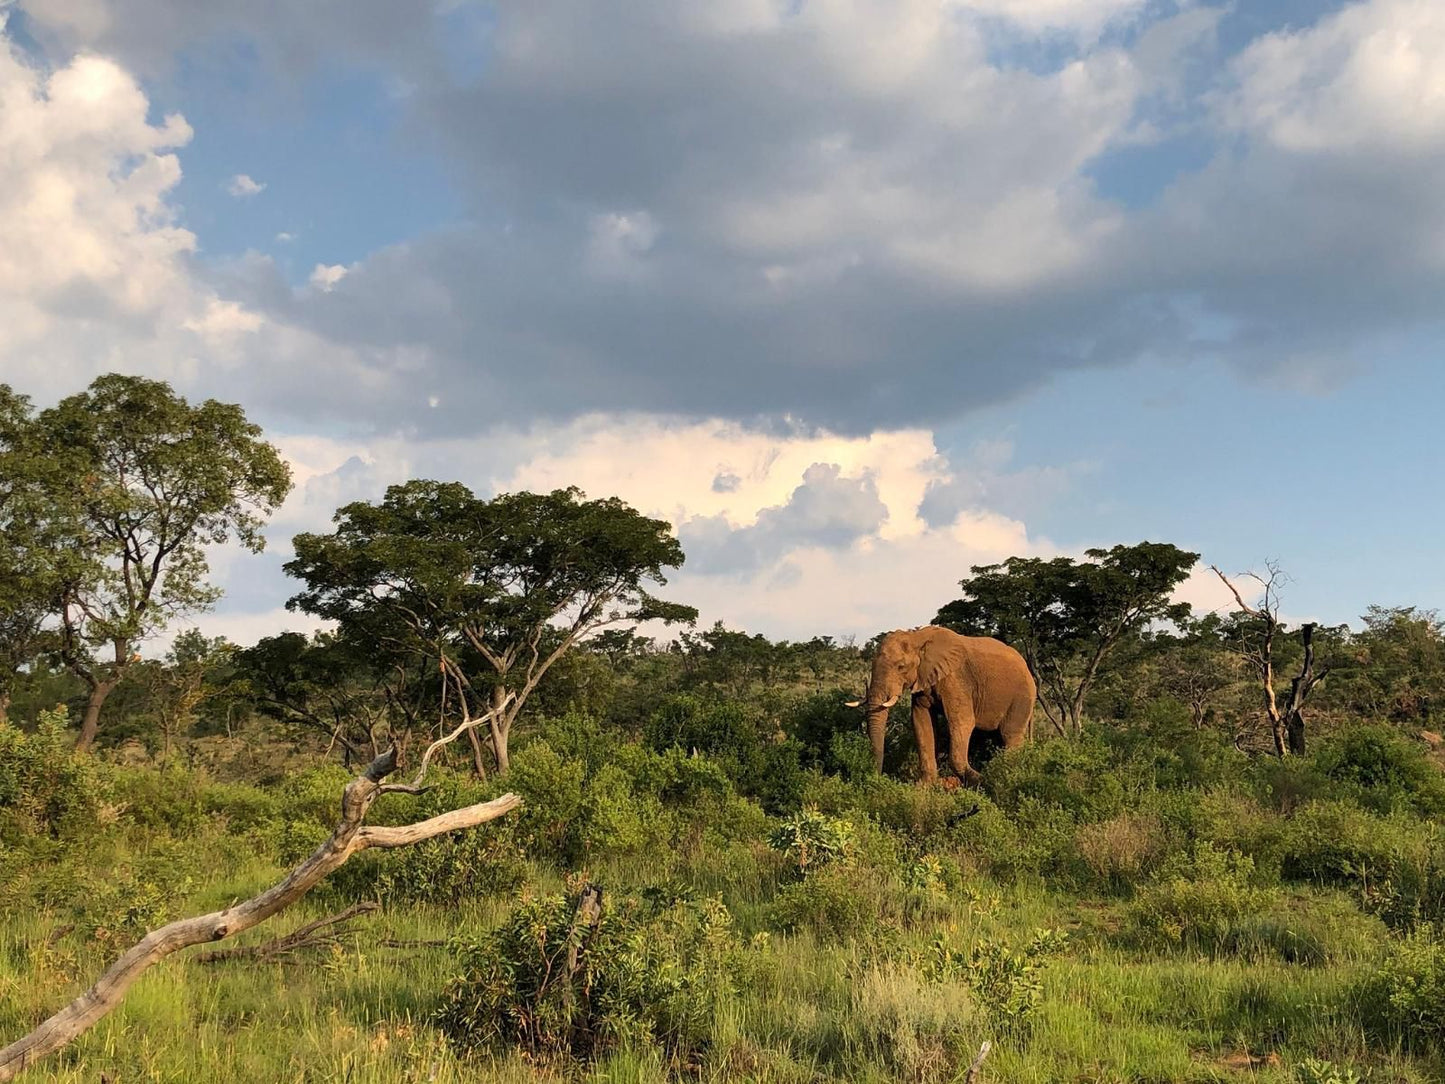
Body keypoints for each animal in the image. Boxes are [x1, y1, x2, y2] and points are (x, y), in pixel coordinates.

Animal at [843, 627, 1040, 792]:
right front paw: (923, 788)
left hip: (1022, 697)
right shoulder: (922, 681)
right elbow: (921, 722)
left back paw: (1005, 777)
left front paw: (980, 781)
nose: (876, 779)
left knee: (1010, 735)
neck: (917, 638)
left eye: (901, 667)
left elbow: (963, 722)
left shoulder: (956, 678)